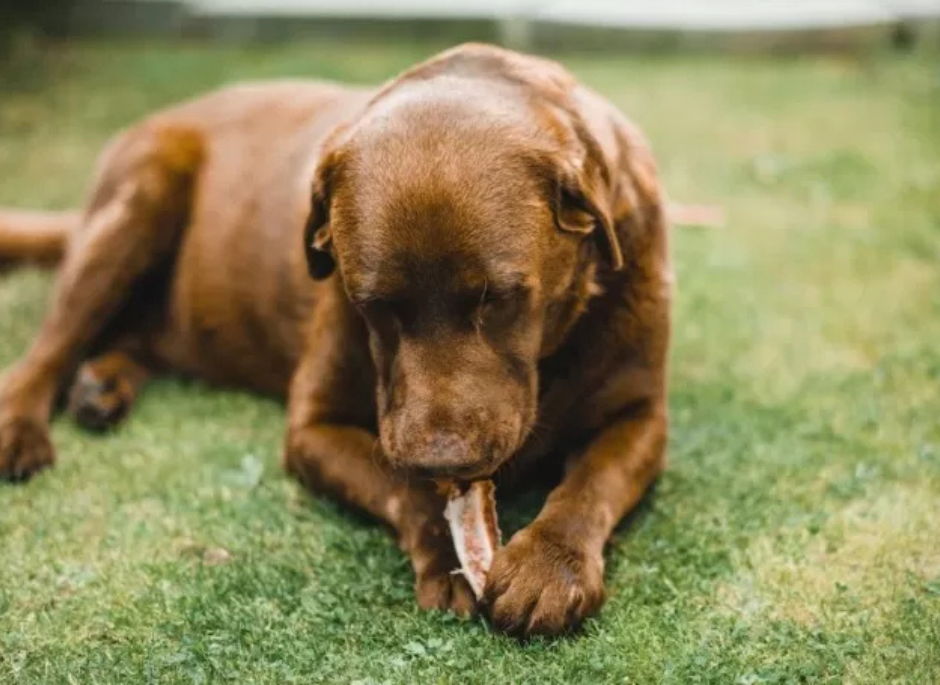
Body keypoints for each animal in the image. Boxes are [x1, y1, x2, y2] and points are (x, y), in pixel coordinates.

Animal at [1, 44, 676, 636]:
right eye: (373, 304)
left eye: (500, 299)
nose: (443, 459)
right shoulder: (313, 427)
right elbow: (403, 488)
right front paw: (447, 554)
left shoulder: (641, 414)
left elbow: (592, 483)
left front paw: (548, 567)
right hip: (139, 198)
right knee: (49, 346)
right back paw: (22, 425)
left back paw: (102, 385)